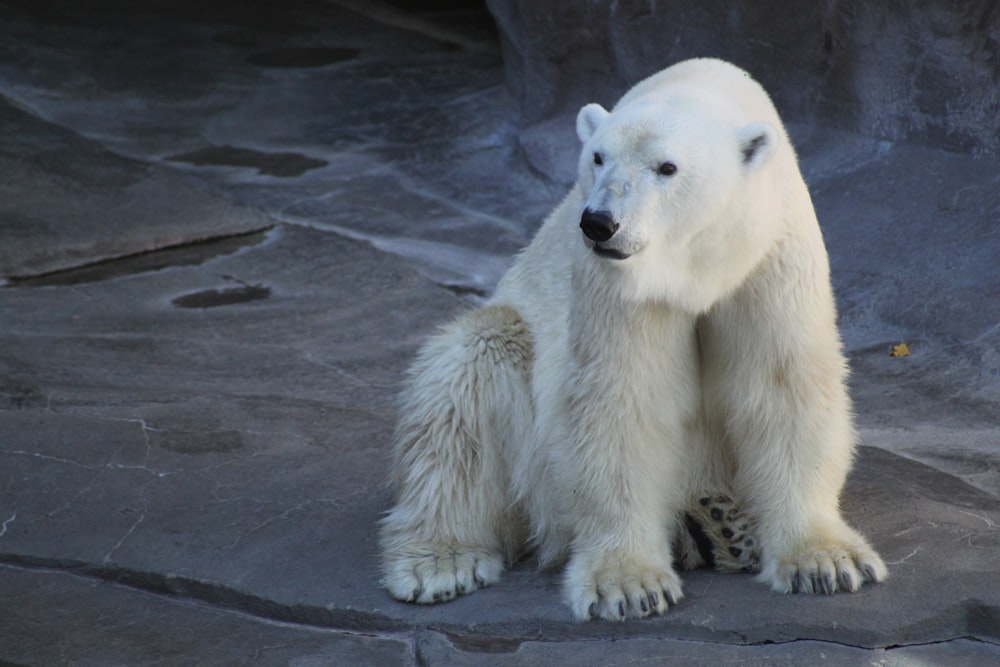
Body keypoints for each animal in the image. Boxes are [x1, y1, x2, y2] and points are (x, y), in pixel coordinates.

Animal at [378, 57, 888, 620]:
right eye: (598, 157)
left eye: (667, 168)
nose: (600, 223)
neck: (696, 268)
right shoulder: (618, 284)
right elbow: (622, 399)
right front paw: (628, 585)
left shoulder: (769, 255)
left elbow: (782, 384)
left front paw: (826, 562)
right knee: (465, 382)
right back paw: (441, 561)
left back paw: (720, 526)